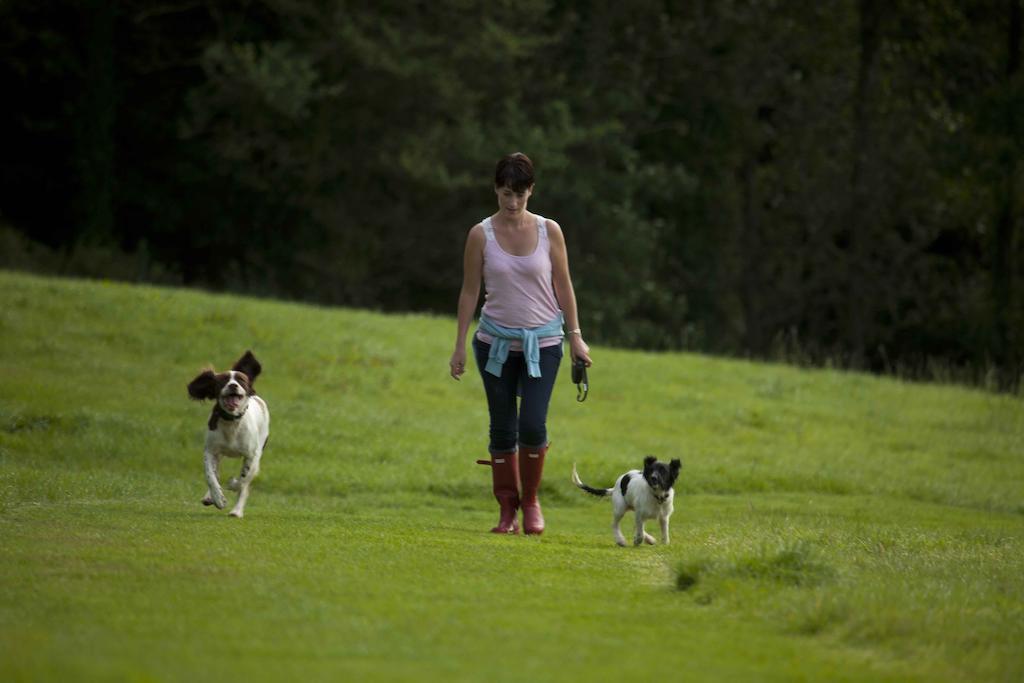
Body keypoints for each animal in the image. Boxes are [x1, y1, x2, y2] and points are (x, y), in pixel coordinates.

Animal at [187, 352, 270, 518]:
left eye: (241, 380)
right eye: (223, 380)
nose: (233, 385)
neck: (231, 422)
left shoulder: (251, 455)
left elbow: (242, 480)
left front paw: (232, 484)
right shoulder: (211, 451)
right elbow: (210, 476)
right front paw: (218, 498)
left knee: (246, 484)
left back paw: (236, 511)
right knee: (217, 472)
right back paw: (209, 497)